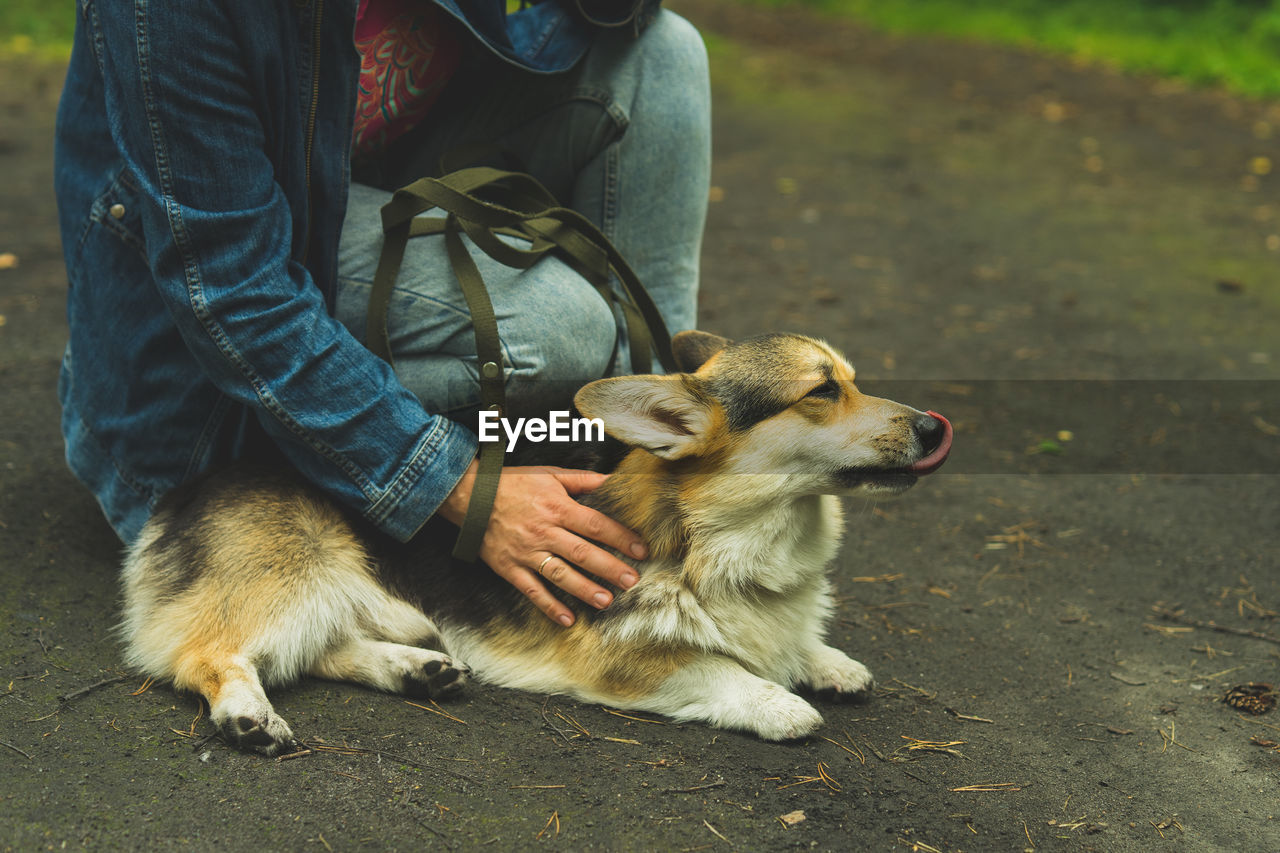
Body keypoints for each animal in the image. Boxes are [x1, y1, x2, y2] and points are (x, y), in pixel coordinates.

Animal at [122, 330, 952, 753]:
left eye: (853, 378)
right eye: (822, 391)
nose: (935, 427)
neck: (726, 537)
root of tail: (182, 490)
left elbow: (790, 641)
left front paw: (824, 661)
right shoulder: (618, 657)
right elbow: (720, 666)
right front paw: (781, 701)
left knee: (324, 650)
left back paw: (418, 670)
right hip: (298, 581)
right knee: (211, 654)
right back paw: (246, 714)